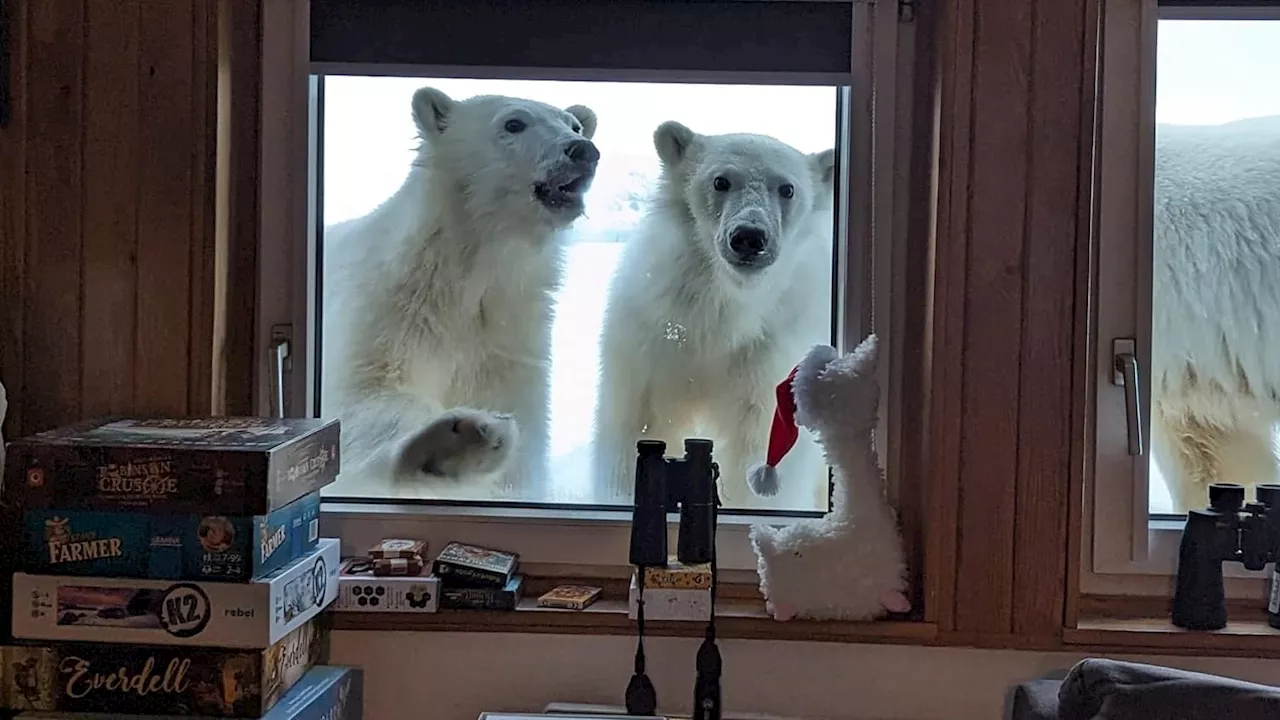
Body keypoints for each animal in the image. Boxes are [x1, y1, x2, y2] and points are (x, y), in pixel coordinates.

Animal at [320, 85, 599, 499]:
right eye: (514, 123)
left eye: (575, 124)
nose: (582, 150)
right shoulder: (386, 311)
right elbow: (362, 395)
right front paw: (459, 439)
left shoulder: (507, 342)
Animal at [591, 120, 834, 507]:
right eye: (721, 181)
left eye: (787, 188)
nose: (749, 236)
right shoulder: (653, 333)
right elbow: (638, 423)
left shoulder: (770, 351)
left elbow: (760, 442)